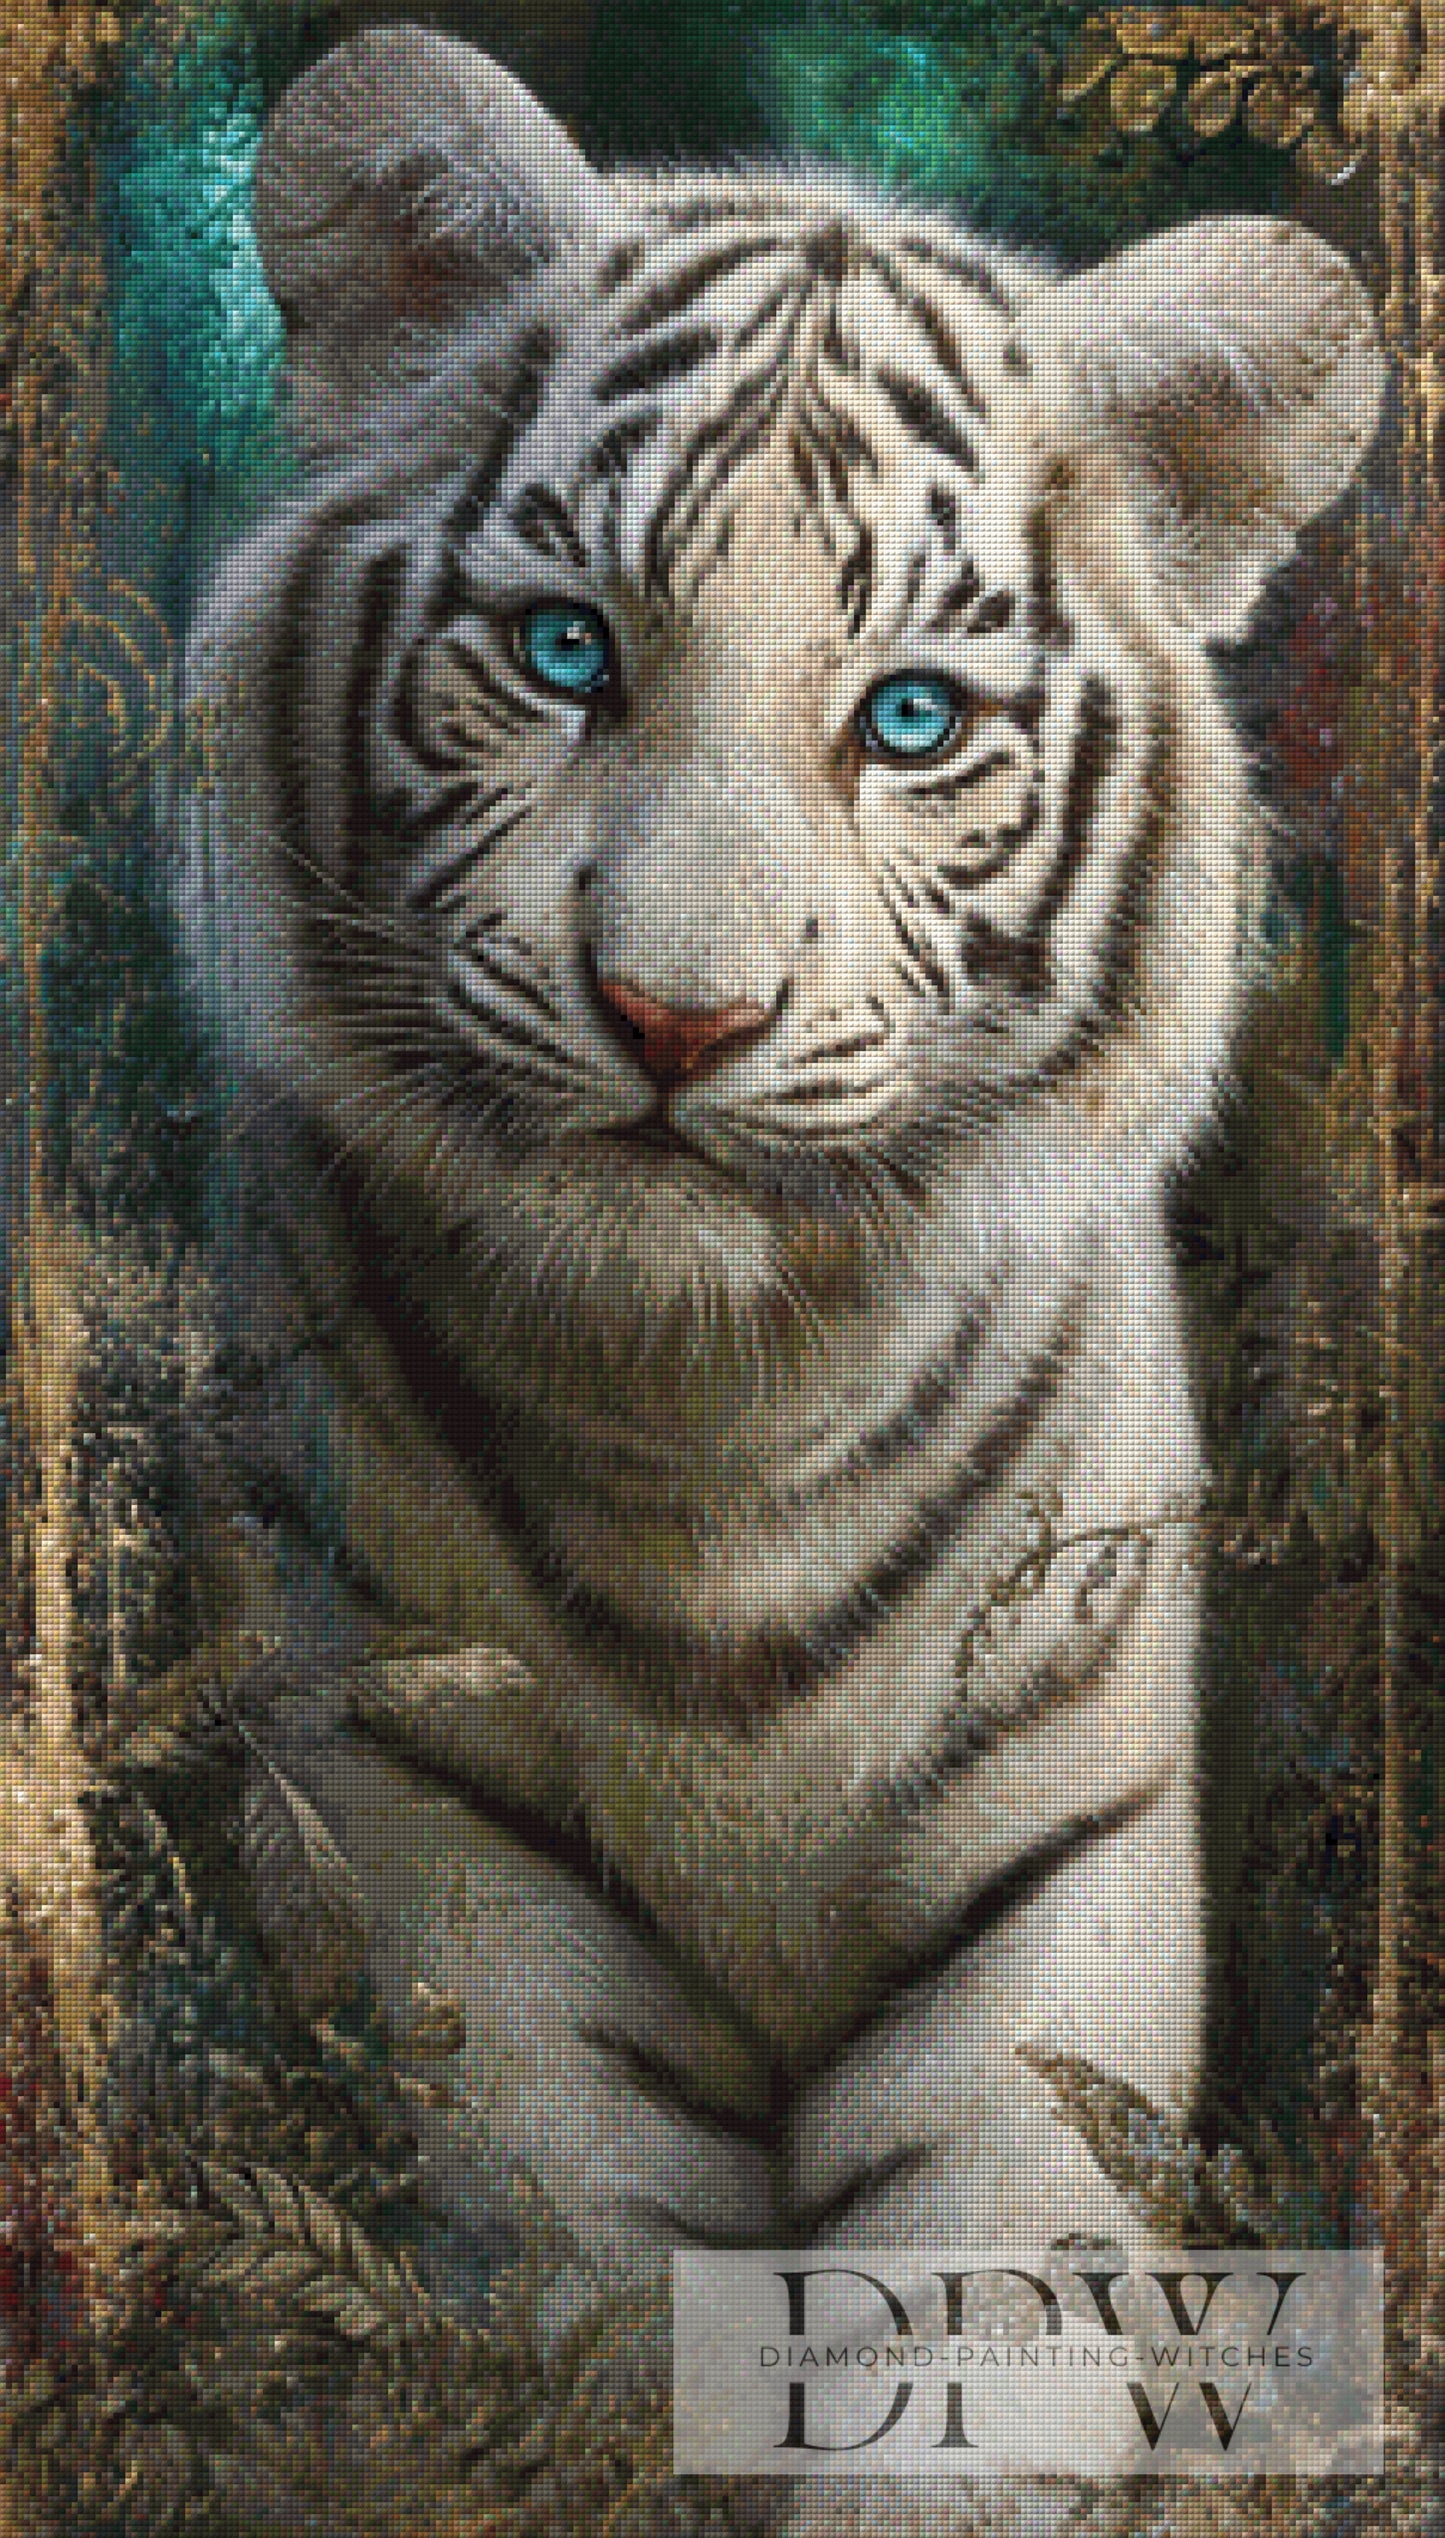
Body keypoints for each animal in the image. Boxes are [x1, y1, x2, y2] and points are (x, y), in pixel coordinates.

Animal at [178, 24, 1384, 2535]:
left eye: (907, 719)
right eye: (563, 651)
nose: (677, 1016)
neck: (704, 1411)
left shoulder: (1052, 1866)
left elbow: (977, 2307)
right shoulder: (430, 1818)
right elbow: (600, 2266)